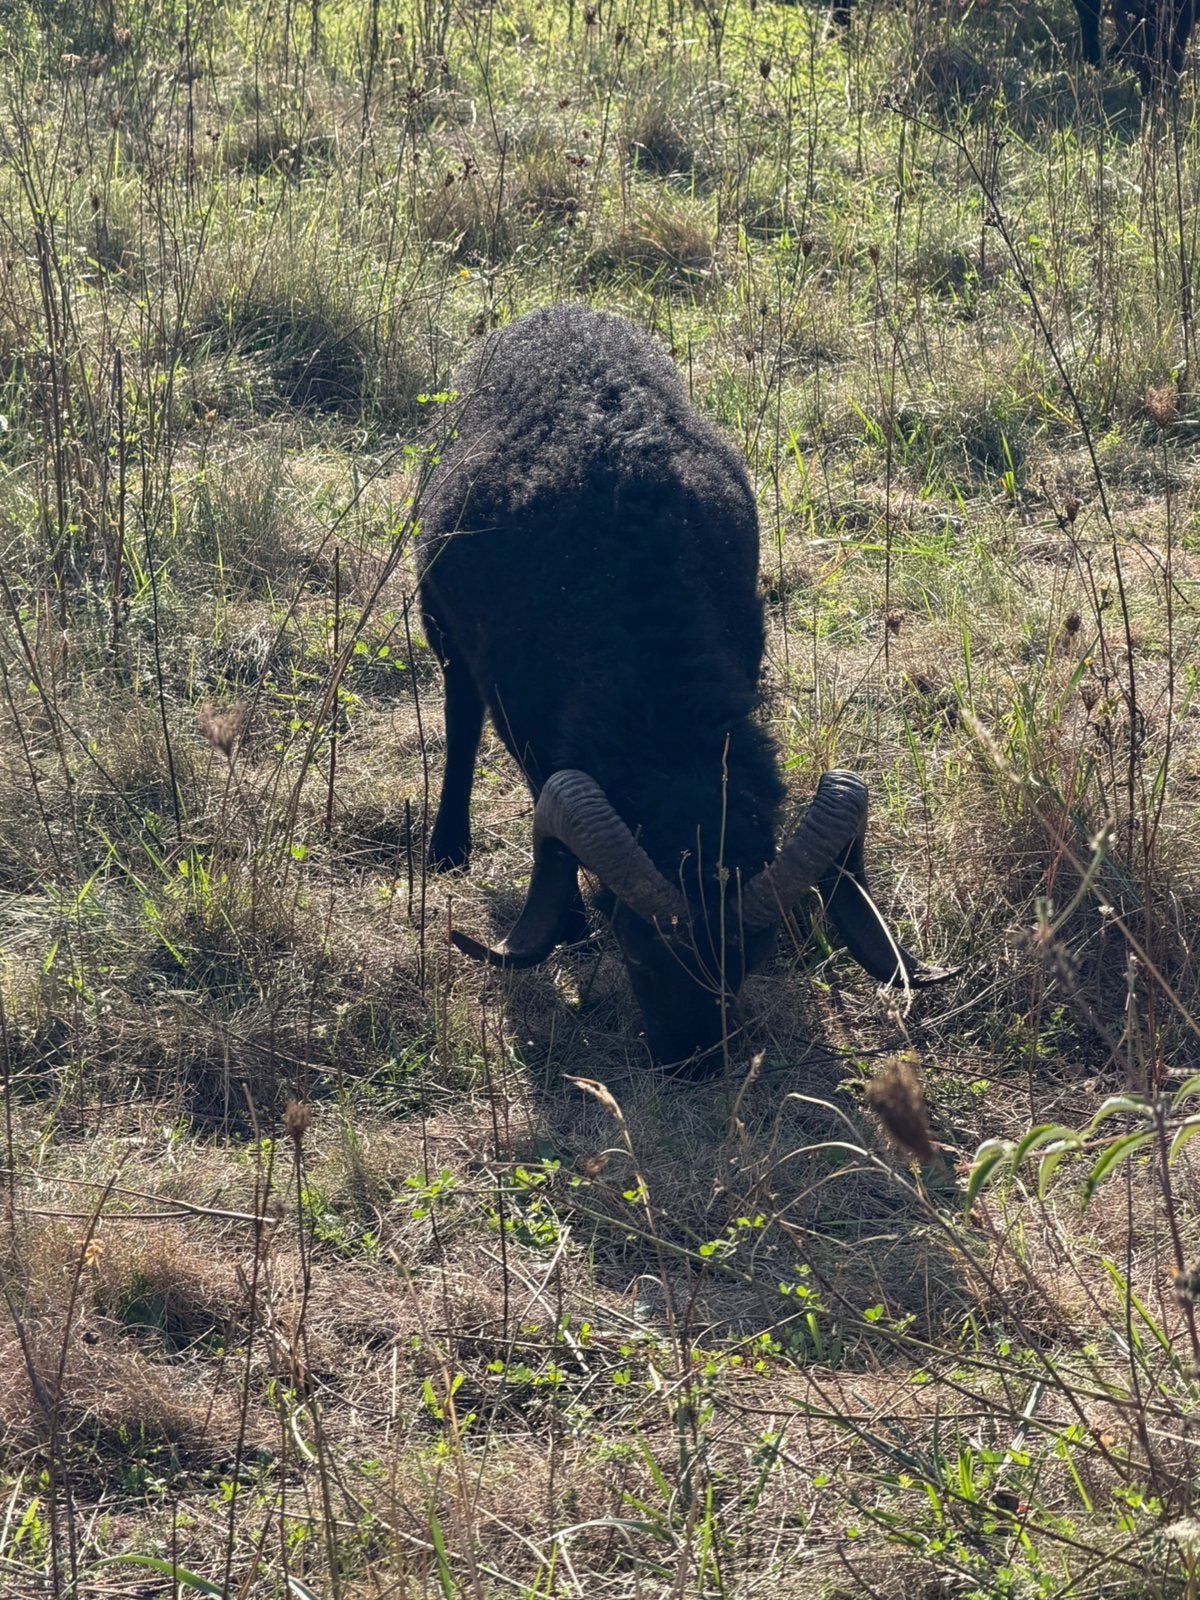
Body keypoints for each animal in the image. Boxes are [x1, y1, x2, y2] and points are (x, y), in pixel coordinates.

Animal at [417, 306, 947, 1071]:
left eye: (752, 954)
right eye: (634, 940)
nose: (691, 1060)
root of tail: (558, 311)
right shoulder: (526, 716)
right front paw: (569, 927)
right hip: (441, 624)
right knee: (460, 720)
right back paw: (448, 847)